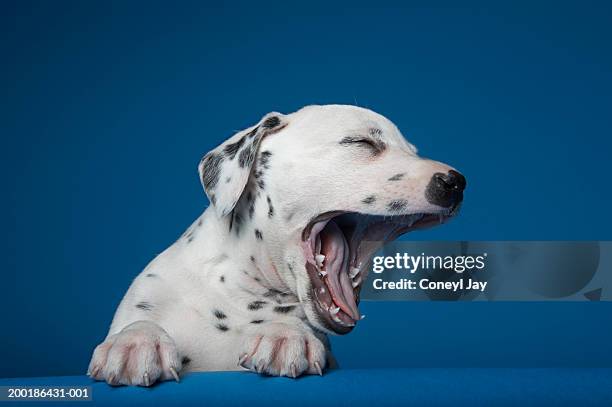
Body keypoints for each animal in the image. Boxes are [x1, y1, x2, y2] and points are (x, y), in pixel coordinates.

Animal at [88, 104, 466, 386]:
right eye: (362, 143)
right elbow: (139, 322)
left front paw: (285, 335)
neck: (238, 291)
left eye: (412, 151)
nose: (456, 182)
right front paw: (135, 341)